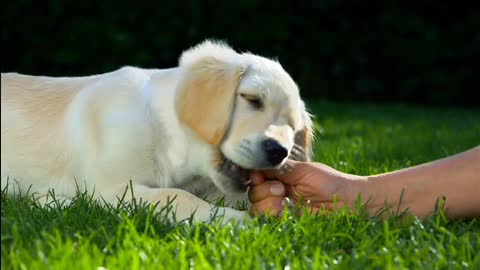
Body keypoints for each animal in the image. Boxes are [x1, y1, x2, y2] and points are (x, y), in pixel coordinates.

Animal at [1, 39, 314, 221]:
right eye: (252, 99)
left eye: (293, 127)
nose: (278, 152)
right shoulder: (109, 188)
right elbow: (175, 196)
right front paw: (241, 223)